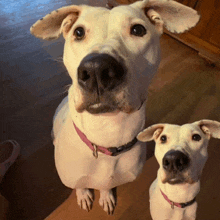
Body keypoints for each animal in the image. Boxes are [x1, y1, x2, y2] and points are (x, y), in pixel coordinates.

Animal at [29, 0, 199, 214]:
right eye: (78, 32)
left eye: (138, 29)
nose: (97, 69)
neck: (107, 133)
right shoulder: (73, 177)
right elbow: (80, 184)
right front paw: (84, 194)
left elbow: (107, 185)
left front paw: (106, 196)